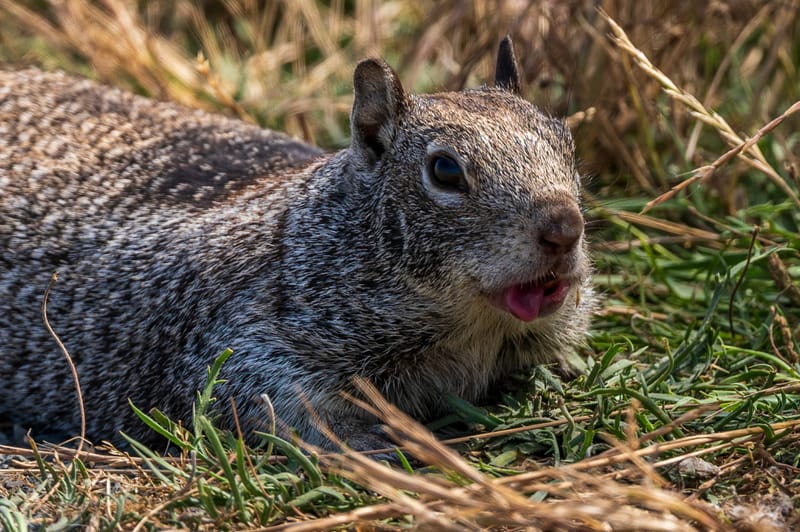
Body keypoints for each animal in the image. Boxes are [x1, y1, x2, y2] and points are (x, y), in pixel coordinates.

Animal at [0, 38, 594, 450]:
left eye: (566, 142)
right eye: (445, 171)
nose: (565, 229)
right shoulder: (246, 336)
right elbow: (267, 399)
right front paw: (369, 442)